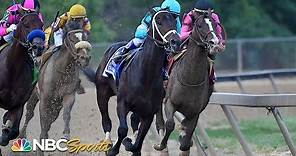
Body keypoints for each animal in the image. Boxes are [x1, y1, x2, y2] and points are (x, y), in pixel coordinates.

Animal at [0, 12, 44, 146]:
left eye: (41, 25)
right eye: (26, 25)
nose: (38, 47)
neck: (12, 69)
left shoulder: (18, 104)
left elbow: (13, 130)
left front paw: (4, 135)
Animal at [154, 10, 221, 155]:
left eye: (214, 24)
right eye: (200, 26)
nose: (214, 43)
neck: (190, 78)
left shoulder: (195, 112)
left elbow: (186, 140)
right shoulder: (170, 102)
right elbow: (170, 124)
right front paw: (161, 145)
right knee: (160, 119)